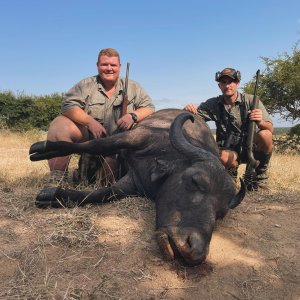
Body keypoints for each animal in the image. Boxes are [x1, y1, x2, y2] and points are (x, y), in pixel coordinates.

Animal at [29, 109, 245, 266]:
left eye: (220, 214)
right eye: (195, 181)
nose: (196, 251)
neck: (165, 155)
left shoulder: (131, 184)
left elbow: (101, 194)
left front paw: (51, 195)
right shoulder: (135, 137)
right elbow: (95, 145)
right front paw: (43, 148)